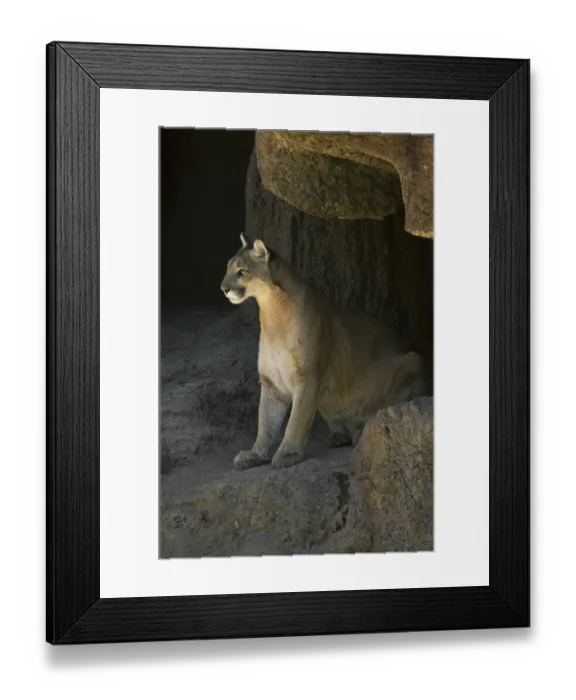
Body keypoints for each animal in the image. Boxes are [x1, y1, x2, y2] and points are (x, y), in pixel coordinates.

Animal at [220, 233, 429, 470]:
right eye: (228, 269)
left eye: (242, 272)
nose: (223, 288)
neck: (272, 315)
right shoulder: (271, 382)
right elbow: (265, 424)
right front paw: (255, 454)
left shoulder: (308, 376)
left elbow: (296, 420)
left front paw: (287, 453)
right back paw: (341, 434)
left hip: (412, 360)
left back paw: (362, 430)